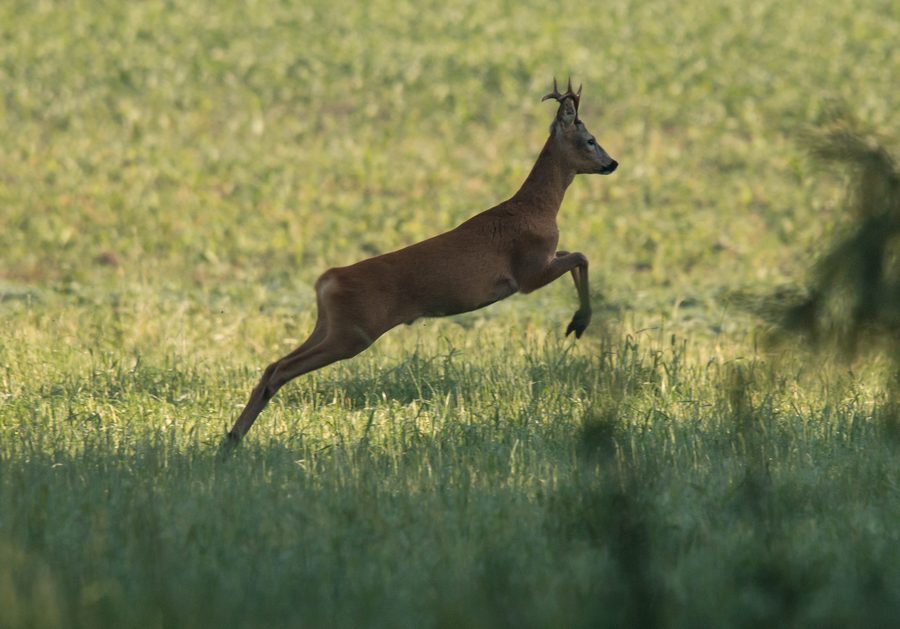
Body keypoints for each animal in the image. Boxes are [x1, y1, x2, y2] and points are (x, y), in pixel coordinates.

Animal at [225, 78, 620, 442]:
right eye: (590, 139)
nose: (612, 163)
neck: (536, 207)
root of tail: (326, 280)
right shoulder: (528, 271)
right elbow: (581, 256)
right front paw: (579, 322)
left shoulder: (541, 262)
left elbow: (575, 255)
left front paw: (577, 322)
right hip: (353, 333)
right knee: (281, 369)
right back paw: (235, 438)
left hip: (329, 325)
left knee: (273, 364)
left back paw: (231, 438)